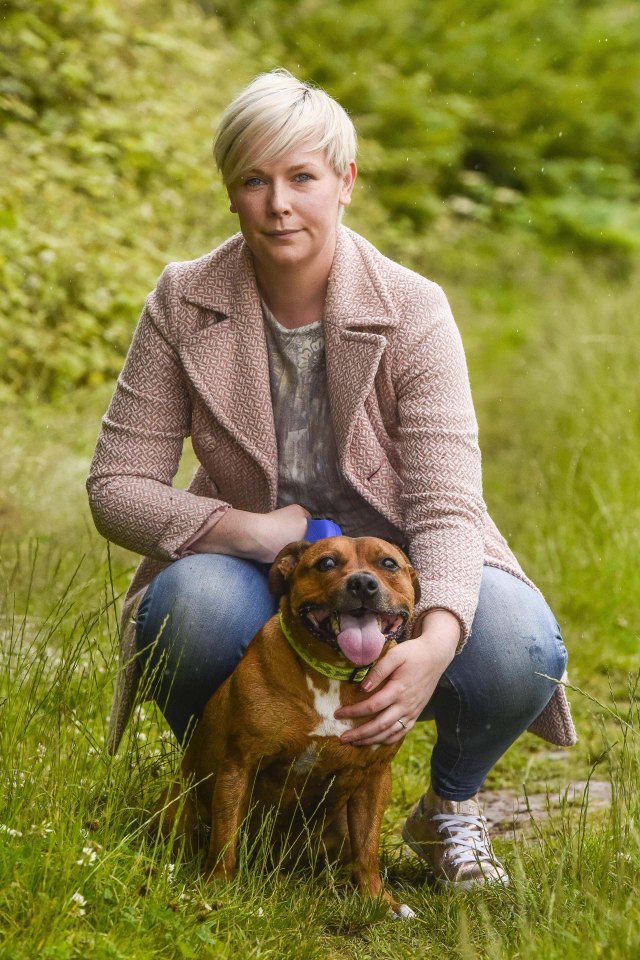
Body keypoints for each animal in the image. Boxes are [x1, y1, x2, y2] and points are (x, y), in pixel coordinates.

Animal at [159, 536, 420, 920]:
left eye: (388, 564)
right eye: (326, 563)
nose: (363, 584)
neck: (333, 673)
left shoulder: (374, 775)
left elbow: (368, 849)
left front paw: (378, 900)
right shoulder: (240, 764)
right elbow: (225, 837)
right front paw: (218, 889)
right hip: (180, 802)